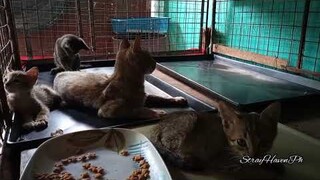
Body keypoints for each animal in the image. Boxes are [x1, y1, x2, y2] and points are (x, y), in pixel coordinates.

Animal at [52, 37, 188, 119]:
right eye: (149, 57)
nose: (155, 63)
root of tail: (62, 73)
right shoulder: (107, 111)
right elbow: (136, 110)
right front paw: (156, 112)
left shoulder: (146, 96)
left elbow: (159, 97)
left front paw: (176, 99)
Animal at [150, 102, 280, 171]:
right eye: (241, 142)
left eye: (264, 143)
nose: (253, 156)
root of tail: (158, 126)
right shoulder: (218, 158)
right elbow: (238, 164)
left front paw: (271, 163)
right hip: (188, 121)